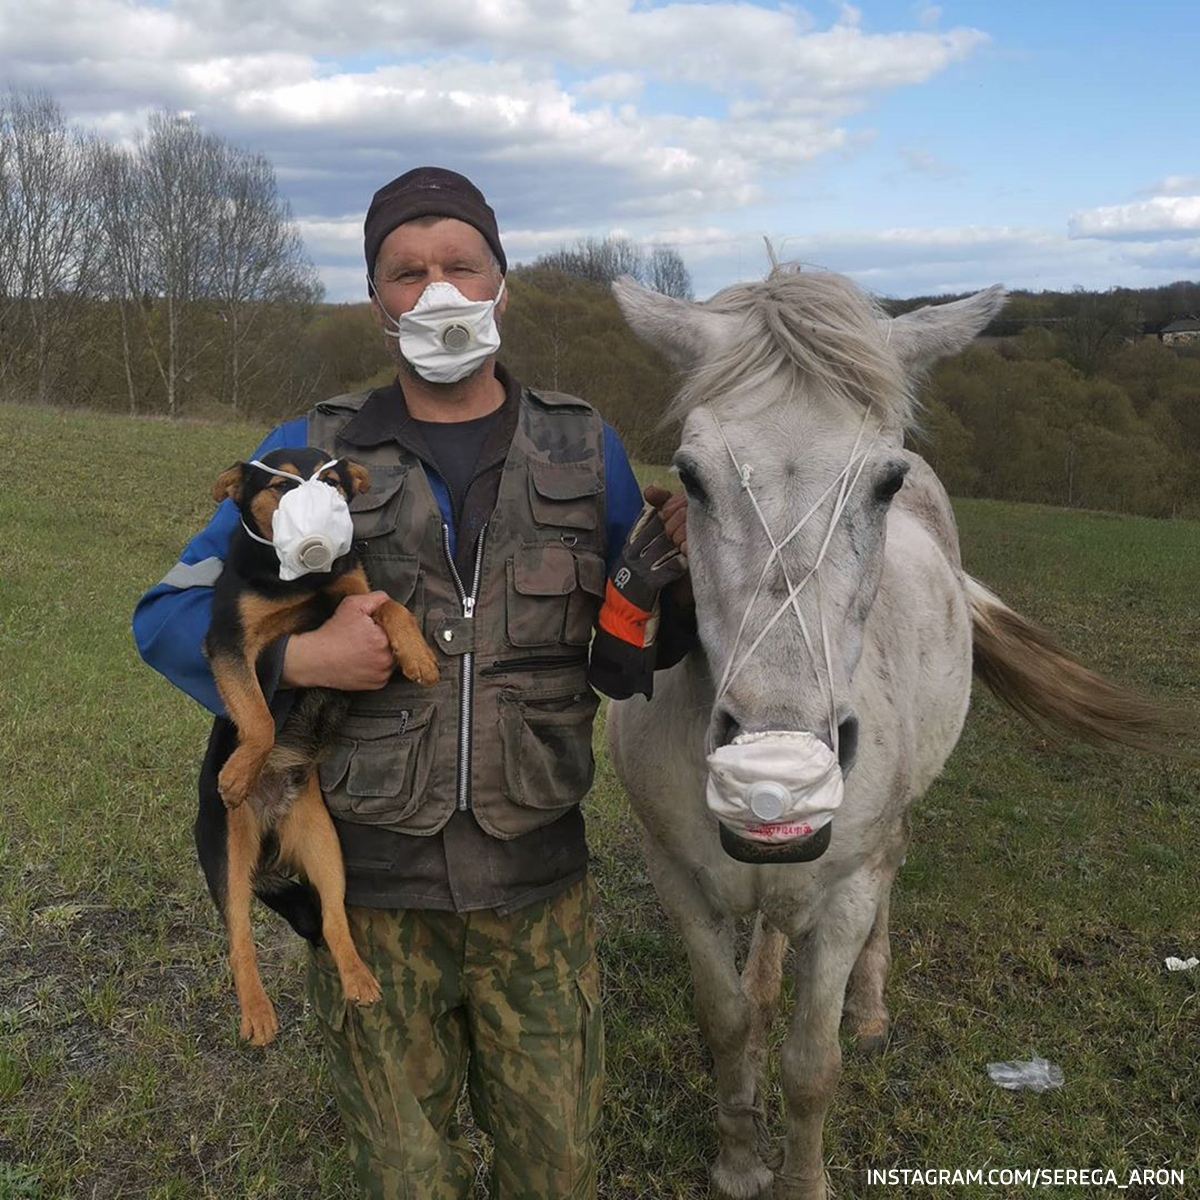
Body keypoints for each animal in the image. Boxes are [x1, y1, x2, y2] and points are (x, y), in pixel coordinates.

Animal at [196, 446, 441, 1046]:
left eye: (333, 482)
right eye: (281, 486)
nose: (317, 533)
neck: (304, 584)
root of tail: (269, 833)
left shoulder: (358, 597)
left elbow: (392, 606)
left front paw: (418, 655)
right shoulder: (230, 642)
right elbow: (259, 715)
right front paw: (238, 770)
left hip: (325, 846)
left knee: (333, 917)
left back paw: (358, 978)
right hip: (226, 853)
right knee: (239, 938)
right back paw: (257, 1013)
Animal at [604, 270, 1176, 1200]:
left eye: (883, 482)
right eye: (691, 476)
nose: (780, 754)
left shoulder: (844, 891)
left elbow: (812, 1064)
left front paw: (799, 1179)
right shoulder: (679, 878)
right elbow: (727, 1021)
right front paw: (739, 1160)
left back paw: (870, 1007)